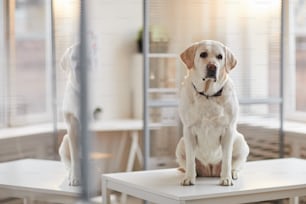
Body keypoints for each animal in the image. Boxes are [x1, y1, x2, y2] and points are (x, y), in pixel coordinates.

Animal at [176, 39, 250, 186]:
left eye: (220, 57)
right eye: (203, 54)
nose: (212, 67)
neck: (208, 95)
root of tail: (210, 171)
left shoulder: (228, 130)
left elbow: (227, 160)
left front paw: (226, 178)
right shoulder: (188, 130)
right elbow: (190, 160)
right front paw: (189, 178)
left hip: (241, 142)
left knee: (236, 164)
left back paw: (232, 173)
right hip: (181, 144)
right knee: (188, 164)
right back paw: (194, 174)